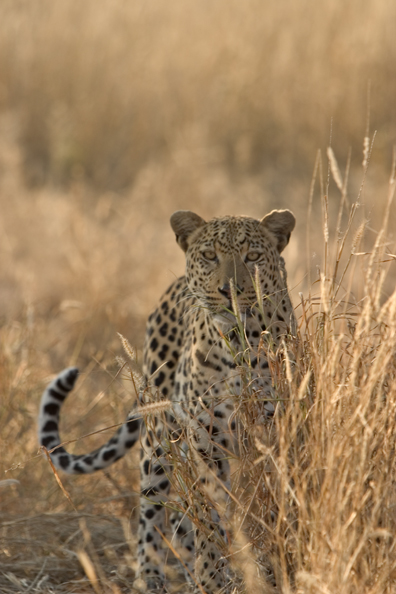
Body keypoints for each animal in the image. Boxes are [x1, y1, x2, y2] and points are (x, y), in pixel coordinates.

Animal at [38, 206, 296, 588]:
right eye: (210, 256)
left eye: (252, 257)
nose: (228, 291)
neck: (240, 342)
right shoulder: (206, 437)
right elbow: (209, 510)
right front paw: (212, 578)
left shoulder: (275, 430)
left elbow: (272, 504)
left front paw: (272, 568)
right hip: (158, 441)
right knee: (153, 511)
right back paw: (152, 578)